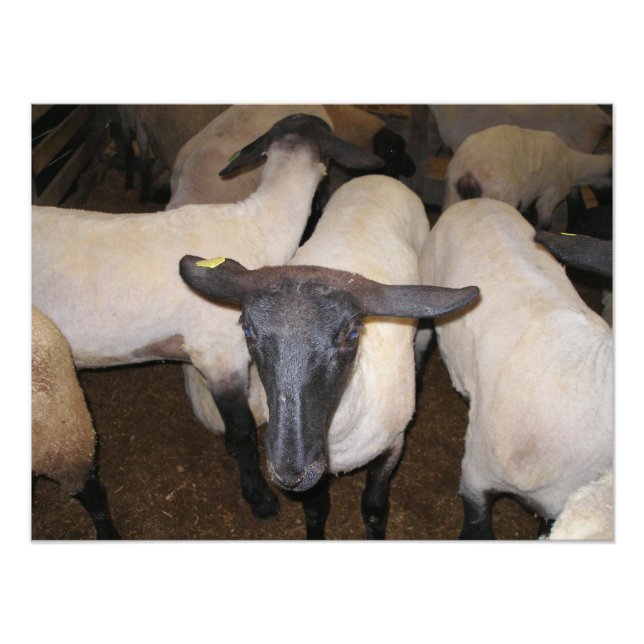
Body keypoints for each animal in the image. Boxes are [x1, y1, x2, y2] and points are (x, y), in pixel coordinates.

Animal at [180, 174, 479, 538]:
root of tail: (381, 177)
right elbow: (315, 510)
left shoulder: (392, 447)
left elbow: (374, 510)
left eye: (352, 334)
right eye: (247, 330)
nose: (291, 472)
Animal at [442, 124, 613, 231]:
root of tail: (469, 172)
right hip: (500, 198)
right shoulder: (551, 196)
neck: (574, 164)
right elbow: (544, 223)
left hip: (452, 195)